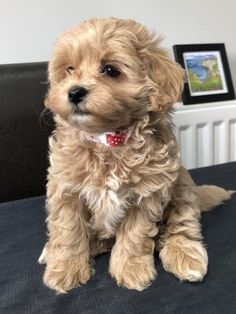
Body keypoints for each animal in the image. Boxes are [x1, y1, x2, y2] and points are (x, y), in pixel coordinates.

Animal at [39, 17, 232, 292]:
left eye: (110, 70)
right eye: (69, 69)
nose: (74, 92)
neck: (109, 139)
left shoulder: (148, 193)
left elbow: (135, 234)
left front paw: (131, 269)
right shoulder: (66, 189)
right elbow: (69, 231)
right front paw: (65, 269)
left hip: (182, 188)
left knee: (181, 226)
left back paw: (186, 257)